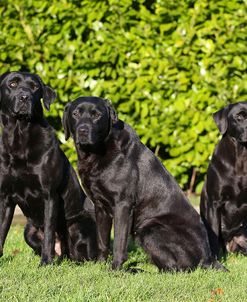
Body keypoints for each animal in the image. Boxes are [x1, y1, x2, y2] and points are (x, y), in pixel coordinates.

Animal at [0, 72, 98, 266]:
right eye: (12, 84)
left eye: (34, 87)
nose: (25, 97)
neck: (19, 138)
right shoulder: (5, 197)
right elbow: (1, 231)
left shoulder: (49, 195)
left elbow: (49, 235)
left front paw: (45, 262)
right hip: (28, 231)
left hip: (80, 225)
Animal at [62, 96, 226, 272]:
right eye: (75, 114)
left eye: (97, 115)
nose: (83, 131)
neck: (97, 152)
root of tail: (208, 258)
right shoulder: (100, 206)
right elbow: (102, 241)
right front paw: (100, 264)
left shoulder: (123, 205)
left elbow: (119, 244)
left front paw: (114, 270)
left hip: (149, 227)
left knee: (176, 269)